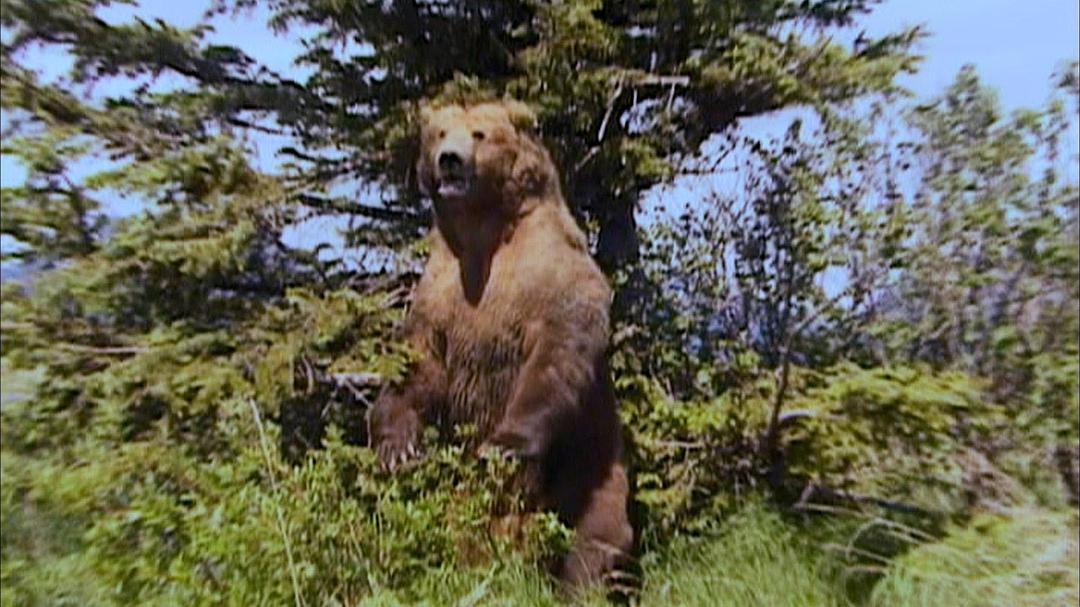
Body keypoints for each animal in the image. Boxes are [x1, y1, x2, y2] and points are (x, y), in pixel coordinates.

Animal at [366, 100, 633, 588]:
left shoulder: (550, 273)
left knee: (597, 534)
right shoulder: (441, 293)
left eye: (479, 134)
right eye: (439, 133)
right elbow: (419, 363)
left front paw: (505, 442)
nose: (449, 160)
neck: (483, 231)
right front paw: (397, 446)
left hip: (591, 459)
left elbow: (559, 348)